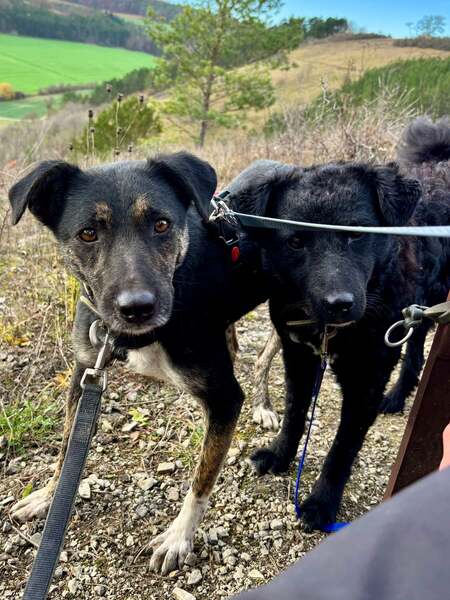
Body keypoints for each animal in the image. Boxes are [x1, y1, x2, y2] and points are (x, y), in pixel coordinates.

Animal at [8, 153, 300, 575]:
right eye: (87, 234)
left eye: (161, 224)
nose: (137, 308)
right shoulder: (85, 370)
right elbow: (66, 447)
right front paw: (48, 496)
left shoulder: (224, 398)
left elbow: (202, 477)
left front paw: (179, 537)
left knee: (266, 356)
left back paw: (264, 405)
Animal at [225, 117, 450, 531]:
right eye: (296, 241)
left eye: (358, 234)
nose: (339, 305)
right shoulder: (298, 356)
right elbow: (295, 413)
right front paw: (280, 455)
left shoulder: (367, 378)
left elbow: (342, 447)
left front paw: (322, 502)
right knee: (415, 346)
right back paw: (399, 395)